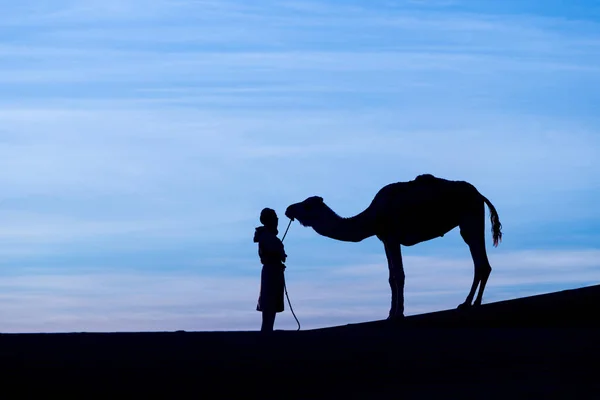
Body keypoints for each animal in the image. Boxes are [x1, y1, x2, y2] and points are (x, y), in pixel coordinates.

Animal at [286, 173, 502, 320]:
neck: (372, 218)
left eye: (307, 205)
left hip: (470, 218)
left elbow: (399, 275)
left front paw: (398, 313)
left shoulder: (392, 237)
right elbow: (391, 277)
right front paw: (391, 313)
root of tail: (480, 195)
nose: (289, 209)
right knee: (482, 263)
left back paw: (467, 303)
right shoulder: (385, 240)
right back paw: (473, 302)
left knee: (480, 262)